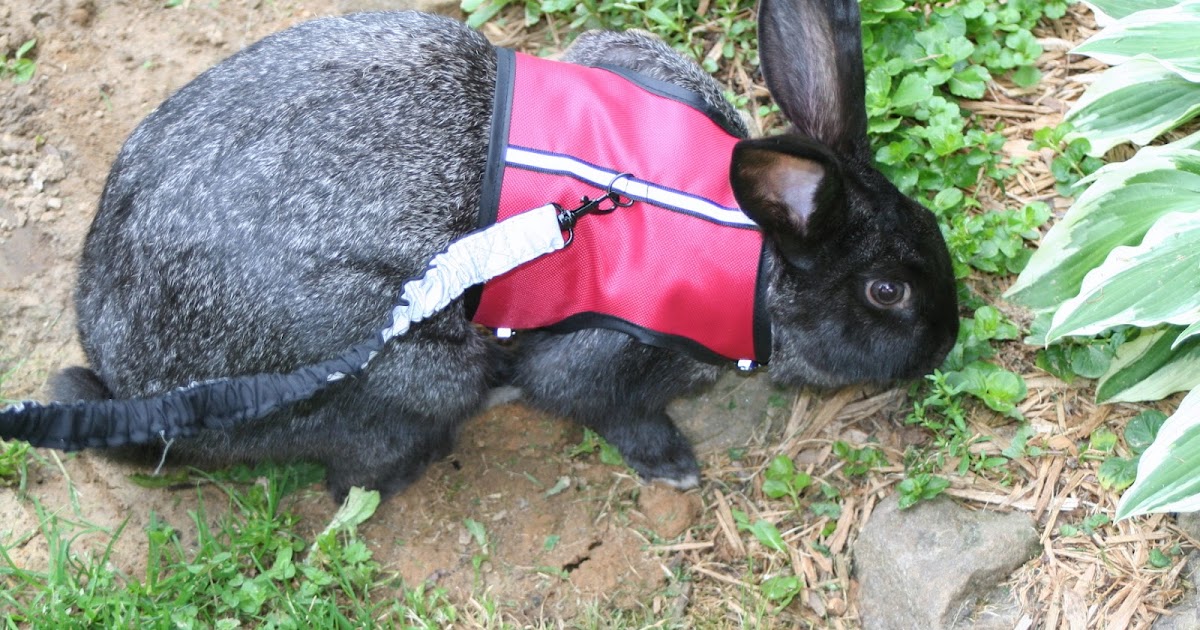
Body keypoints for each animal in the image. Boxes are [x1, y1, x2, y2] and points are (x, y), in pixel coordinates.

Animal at [52, 0, 959, 502]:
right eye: (886, 293)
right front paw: (673, 466)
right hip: (409, 360)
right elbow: (594, 402)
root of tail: (143, 391)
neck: (752, 250)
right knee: (356, 474)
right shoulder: (612, 354)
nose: (944, 345)